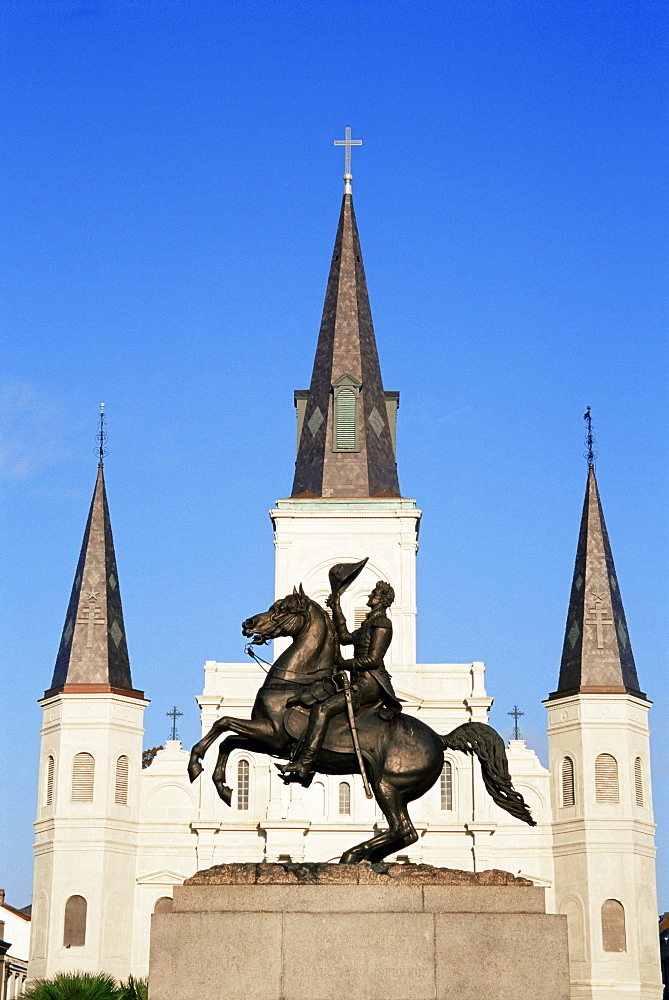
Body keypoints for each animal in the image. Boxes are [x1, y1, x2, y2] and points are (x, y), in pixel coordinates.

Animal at [187, 588, 532, 864]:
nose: (248, 624)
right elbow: (226, 736)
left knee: (405, 832)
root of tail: (440, 738)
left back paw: (354, 854)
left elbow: (223, 727)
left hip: (388, 786)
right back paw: (357, 855)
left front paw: (199, 768)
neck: (293, 681)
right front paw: (223, 787)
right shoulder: (267, 738)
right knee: (402, 833)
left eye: (282, 609)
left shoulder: (272, 735)